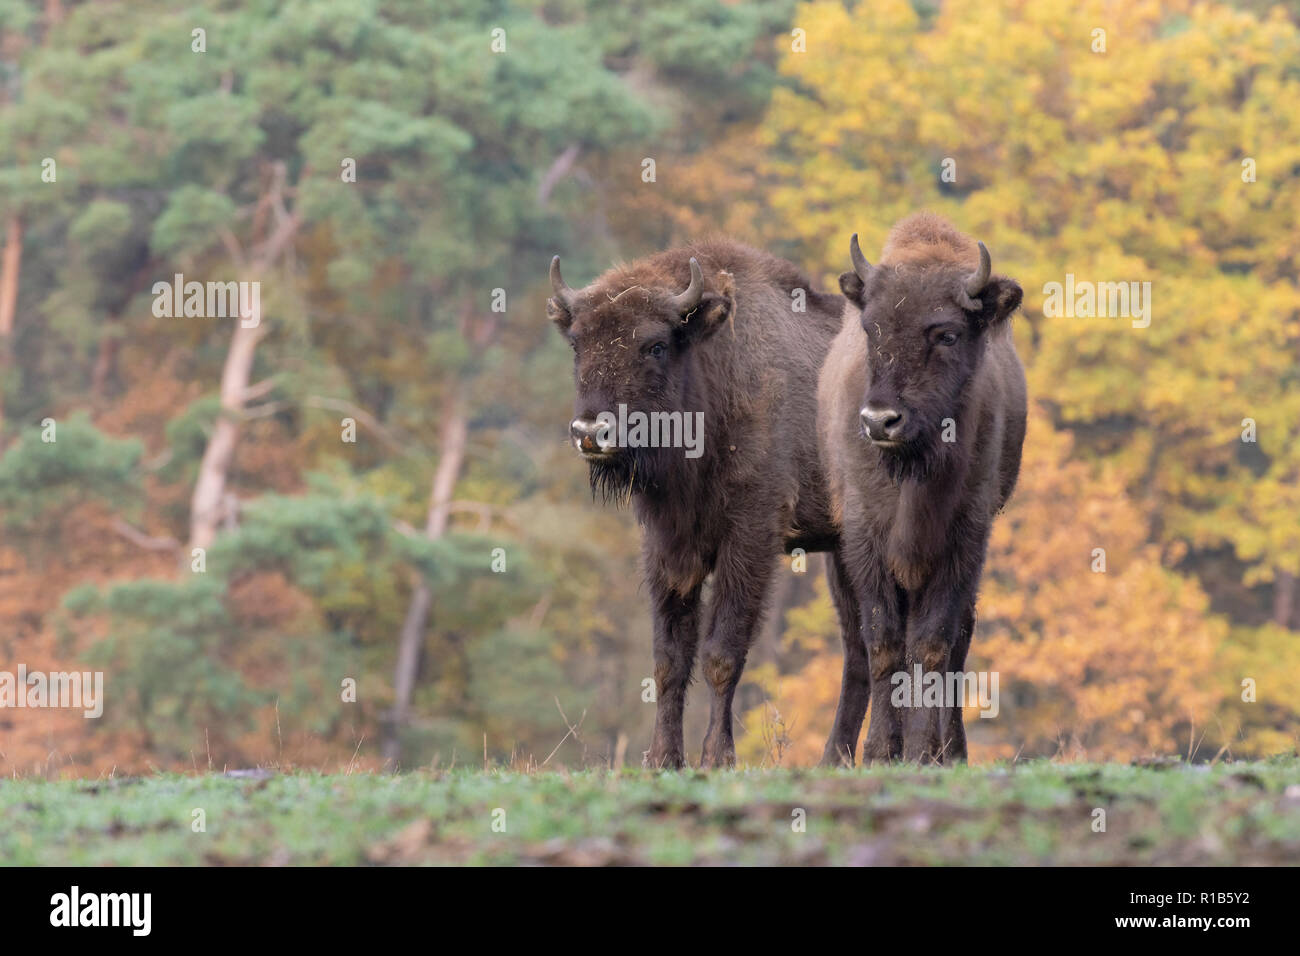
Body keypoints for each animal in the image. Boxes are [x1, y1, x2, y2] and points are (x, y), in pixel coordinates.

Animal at [548, 239, 852, 770]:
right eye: (577, 344)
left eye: (655, 345)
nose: (591, 432)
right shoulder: (666, 547)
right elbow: (669, 659)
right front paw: (662, 758)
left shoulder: (750, 540)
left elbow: (721, 653)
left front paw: (716, 757)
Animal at [821, 213, 1024, 764]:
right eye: (871, 329)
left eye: (947, 334)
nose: (879, 420)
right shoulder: (864, 539)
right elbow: (884, 643)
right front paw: (880, 751)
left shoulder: (964, 540)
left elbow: (933, 645)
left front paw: (922, 750)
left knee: (957, 644)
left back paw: (950, 749)